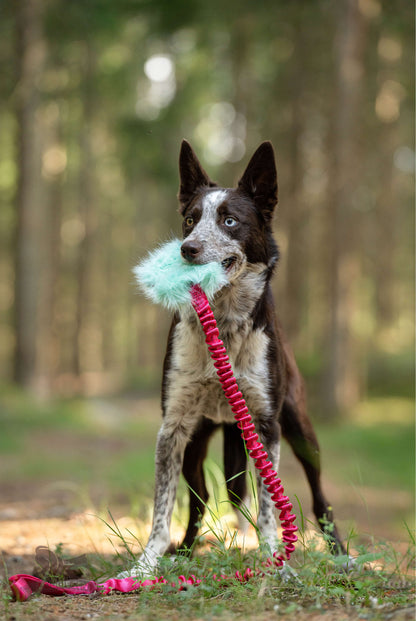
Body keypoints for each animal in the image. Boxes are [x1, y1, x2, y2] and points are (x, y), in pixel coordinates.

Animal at [122, 140, 344, 576]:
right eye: (190, 220)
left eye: (229, 221)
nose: (187, 249)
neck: (222, 324)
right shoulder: (173, 427)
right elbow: (162, 508)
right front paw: (144, 567)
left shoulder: (266, 425)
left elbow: (270, 508)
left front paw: (277, 561)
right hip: (200, 440)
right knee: (201, 498)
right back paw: (186, 551)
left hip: (299, 429)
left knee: (319, 497)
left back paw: (342, 555)